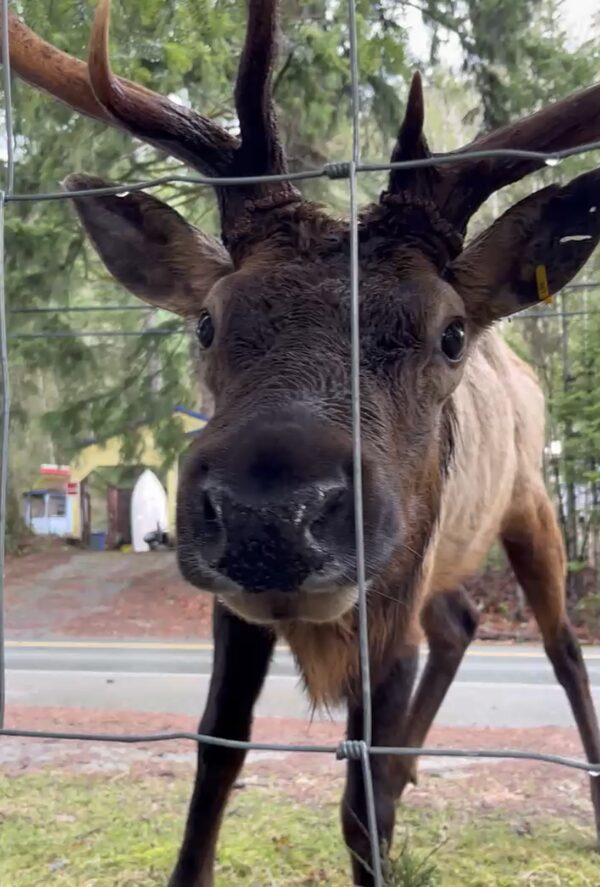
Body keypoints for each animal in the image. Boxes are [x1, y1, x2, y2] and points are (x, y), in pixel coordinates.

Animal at [5, 1, 600, 885]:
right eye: (208, 321)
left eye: (449, 333)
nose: (269, 513)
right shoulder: (236, 612)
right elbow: (216, 754)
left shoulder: (389, 606)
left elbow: (358, 809)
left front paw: (382, 825)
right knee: (460, 620)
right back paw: (414, 765)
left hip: (528, 499)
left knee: (560, 643)